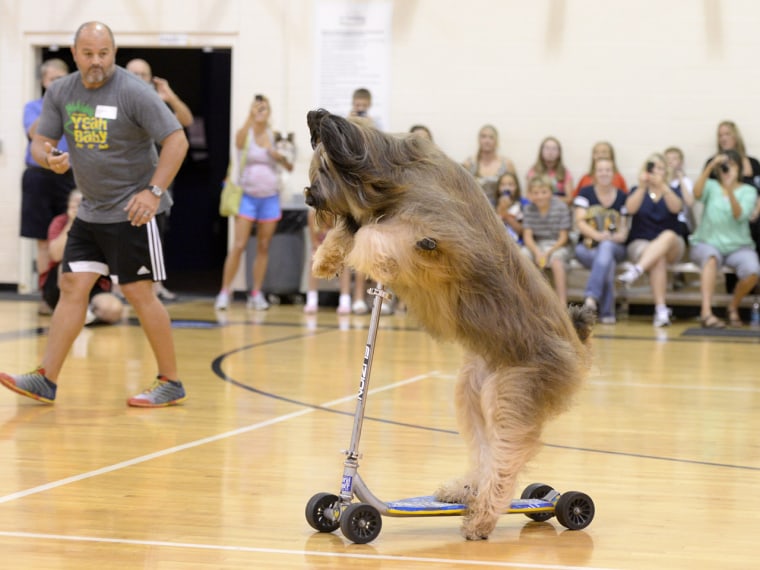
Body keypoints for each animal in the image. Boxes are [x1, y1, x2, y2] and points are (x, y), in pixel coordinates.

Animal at [304, 108, 592, 540]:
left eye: (323, 168)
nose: (307, 195)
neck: (397, 172)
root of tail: (577, 345)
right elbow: (355, 228)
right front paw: (326, 258)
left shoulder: (440, 234)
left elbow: (375, 234)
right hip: (474, 389)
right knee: (487, 451)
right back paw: (467, 491)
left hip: (514, 390)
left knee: (508, 458)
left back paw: (486, 516)